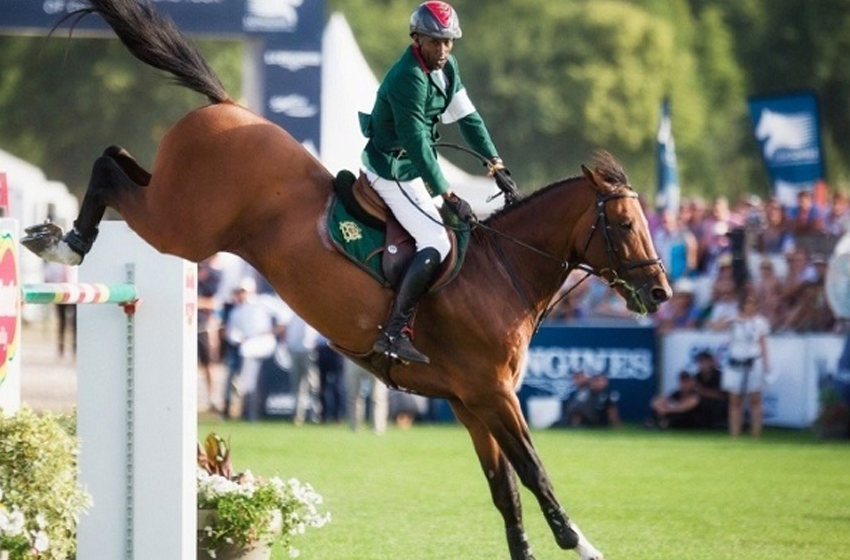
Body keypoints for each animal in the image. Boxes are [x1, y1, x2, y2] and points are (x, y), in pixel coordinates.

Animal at [24, 2, 668, 556]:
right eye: (624, 224)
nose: (659, 292)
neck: (502, 270)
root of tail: (228, 106)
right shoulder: (492, 393)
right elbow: (534, 472)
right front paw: (579, 543)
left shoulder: (469, 401)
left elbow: (505, 490)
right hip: (180, 229)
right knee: (109, 168)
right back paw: (65, 243)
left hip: (174, 207)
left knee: (117, 157)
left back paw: (61, 236)